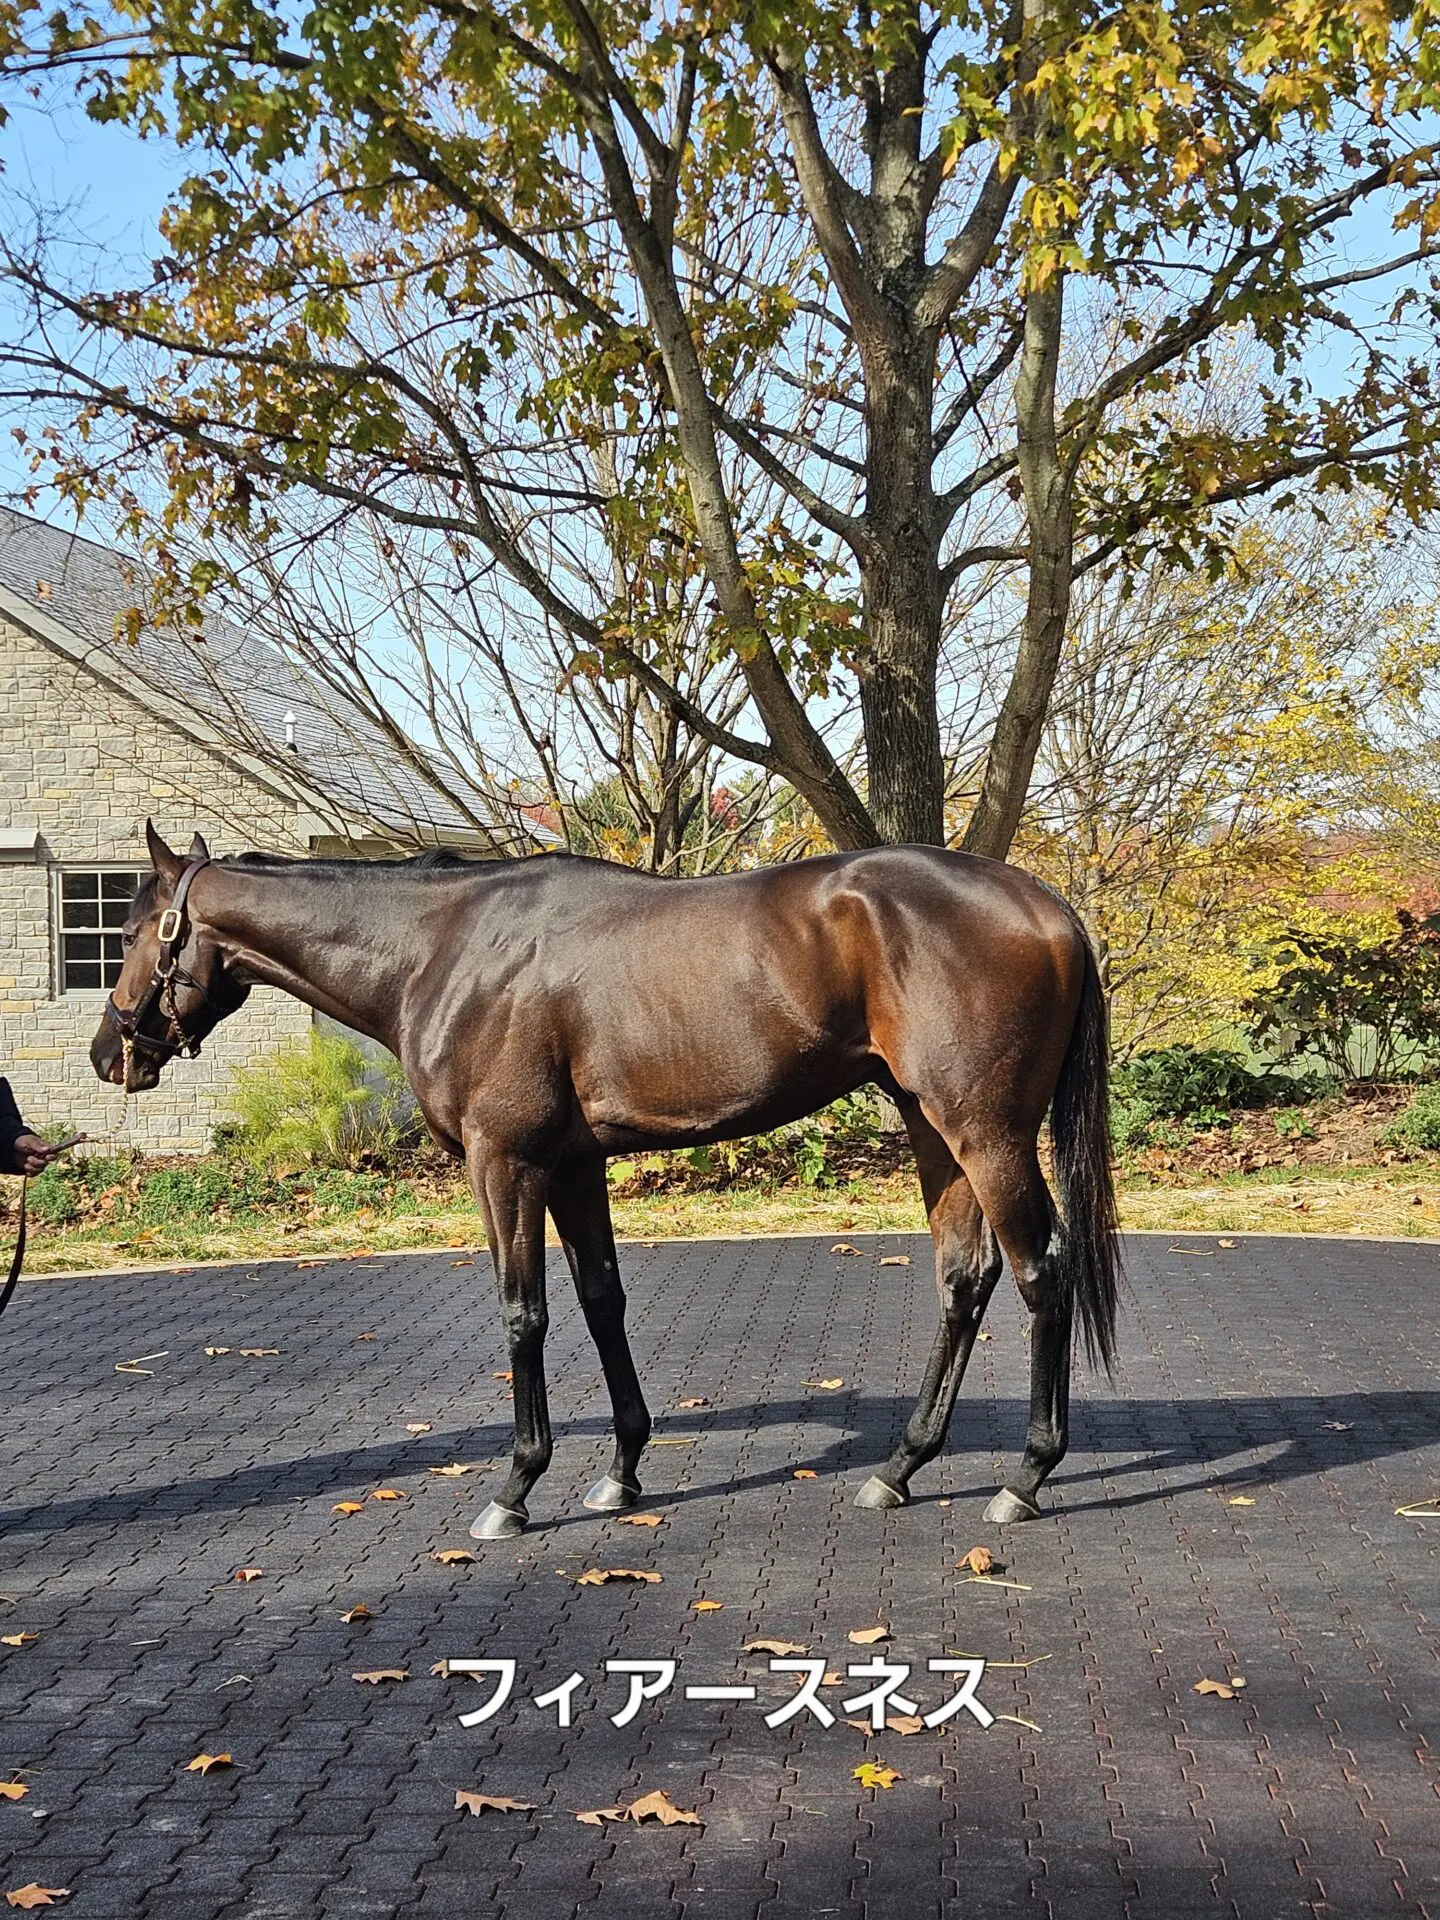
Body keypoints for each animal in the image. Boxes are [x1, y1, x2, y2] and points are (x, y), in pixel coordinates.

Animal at [92, 822, 1119, 1539]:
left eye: (136, 928)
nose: (111, 1053)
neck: (445, 949)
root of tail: (1049, 907)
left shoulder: (505, 1161)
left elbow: (525, 1314)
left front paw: (515, 1487)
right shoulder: (576, 1165)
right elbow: (600, 1300)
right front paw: (621, 1469)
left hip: (984, 1131)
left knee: (1042, 1272)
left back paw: (1026, 1479)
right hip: (930, 1125)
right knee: (965, 1279)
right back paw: (899, 1468)